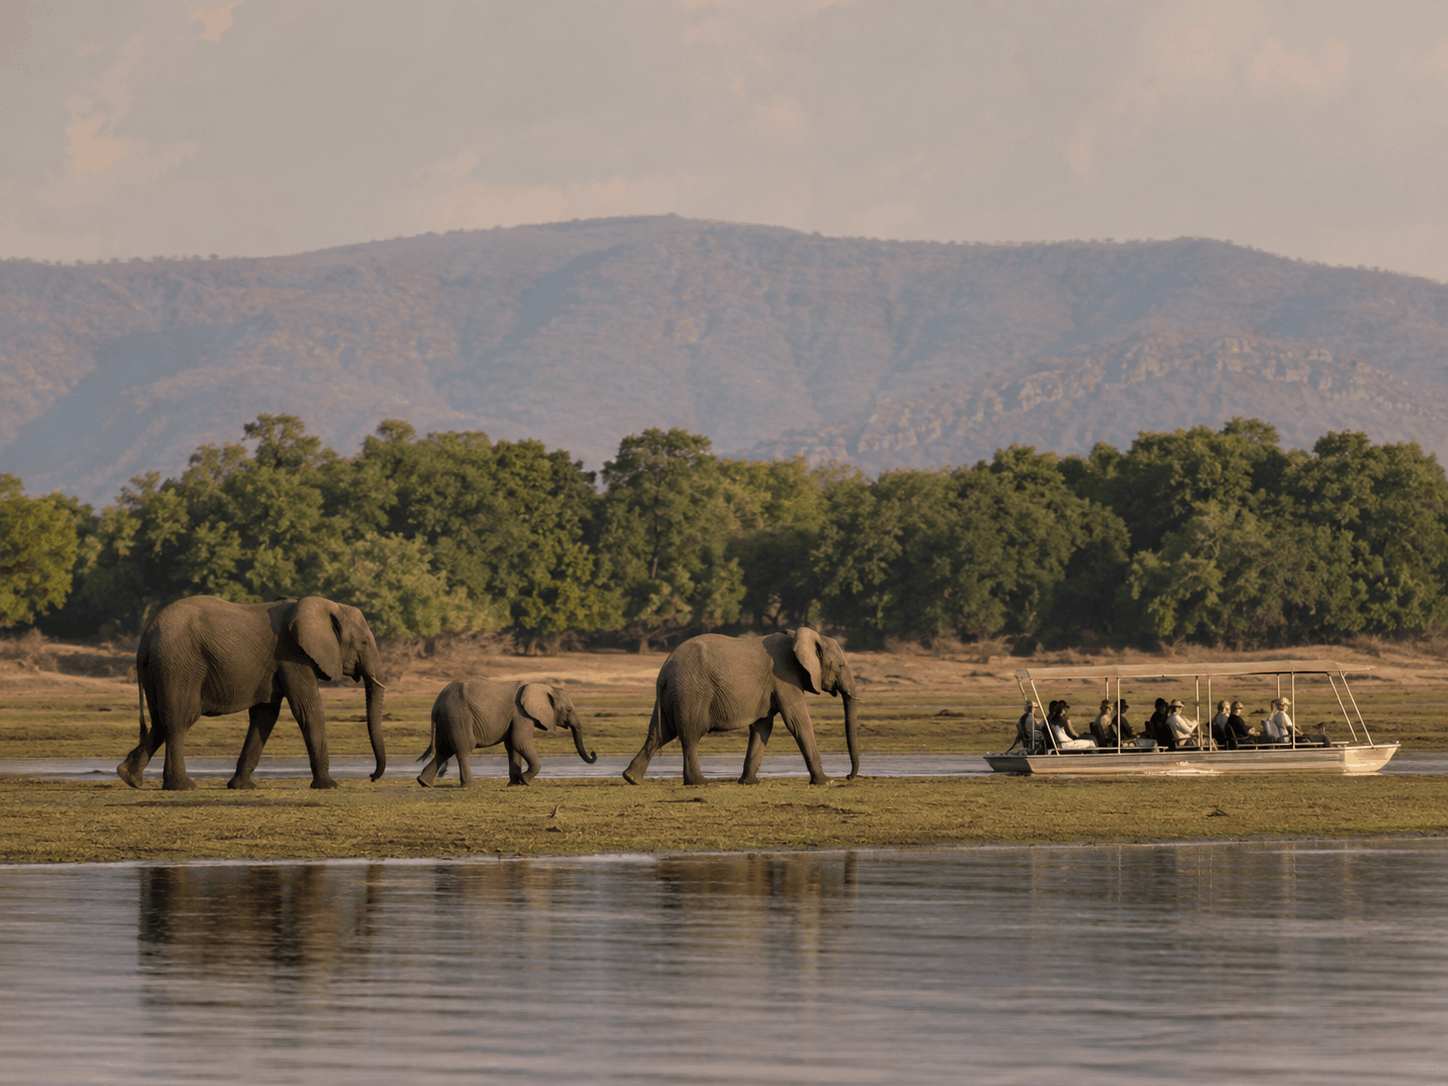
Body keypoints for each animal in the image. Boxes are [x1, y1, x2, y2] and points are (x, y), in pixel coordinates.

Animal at [117, 595, 386, 791]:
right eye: (363, 643)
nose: (371, 776)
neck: (326, 606)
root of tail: (147, 634)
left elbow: (265, 716)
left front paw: (241, 787)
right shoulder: (293, 655)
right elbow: (307, 709)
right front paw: (329, 786)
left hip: (159, 669)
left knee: (159, 722)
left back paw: (129, 778)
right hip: (178, 664)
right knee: (177, 722)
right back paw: (182, 787)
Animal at [415, 679, 597, 787]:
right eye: (569, 710)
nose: (593, 753)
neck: (540, 685)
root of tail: (436, 704)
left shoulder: (516, 716)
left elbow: (513, 746)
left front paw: (515, 784)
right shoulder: (521, 713)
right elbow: (520, 741)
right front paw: (525, 781)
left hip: (447, 719)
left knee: (444, 750)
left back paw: (424, 783)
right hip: (459, 717)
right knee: (462, 749)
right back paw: (470, 785)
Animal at [622, 627, 860, 787]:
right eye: (840, 665)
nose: (849, 776)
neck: (798, 637)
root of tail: (665, 669)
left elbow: (762, 727)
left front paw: (749, 782)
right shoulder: (785, 677)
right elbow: (797, 721)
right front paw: (826, 782)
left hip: (671, 694)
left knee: (660, 733)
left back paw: (632, 778)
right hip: (691, 692)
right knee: (690, 735)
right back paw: (700, 782)